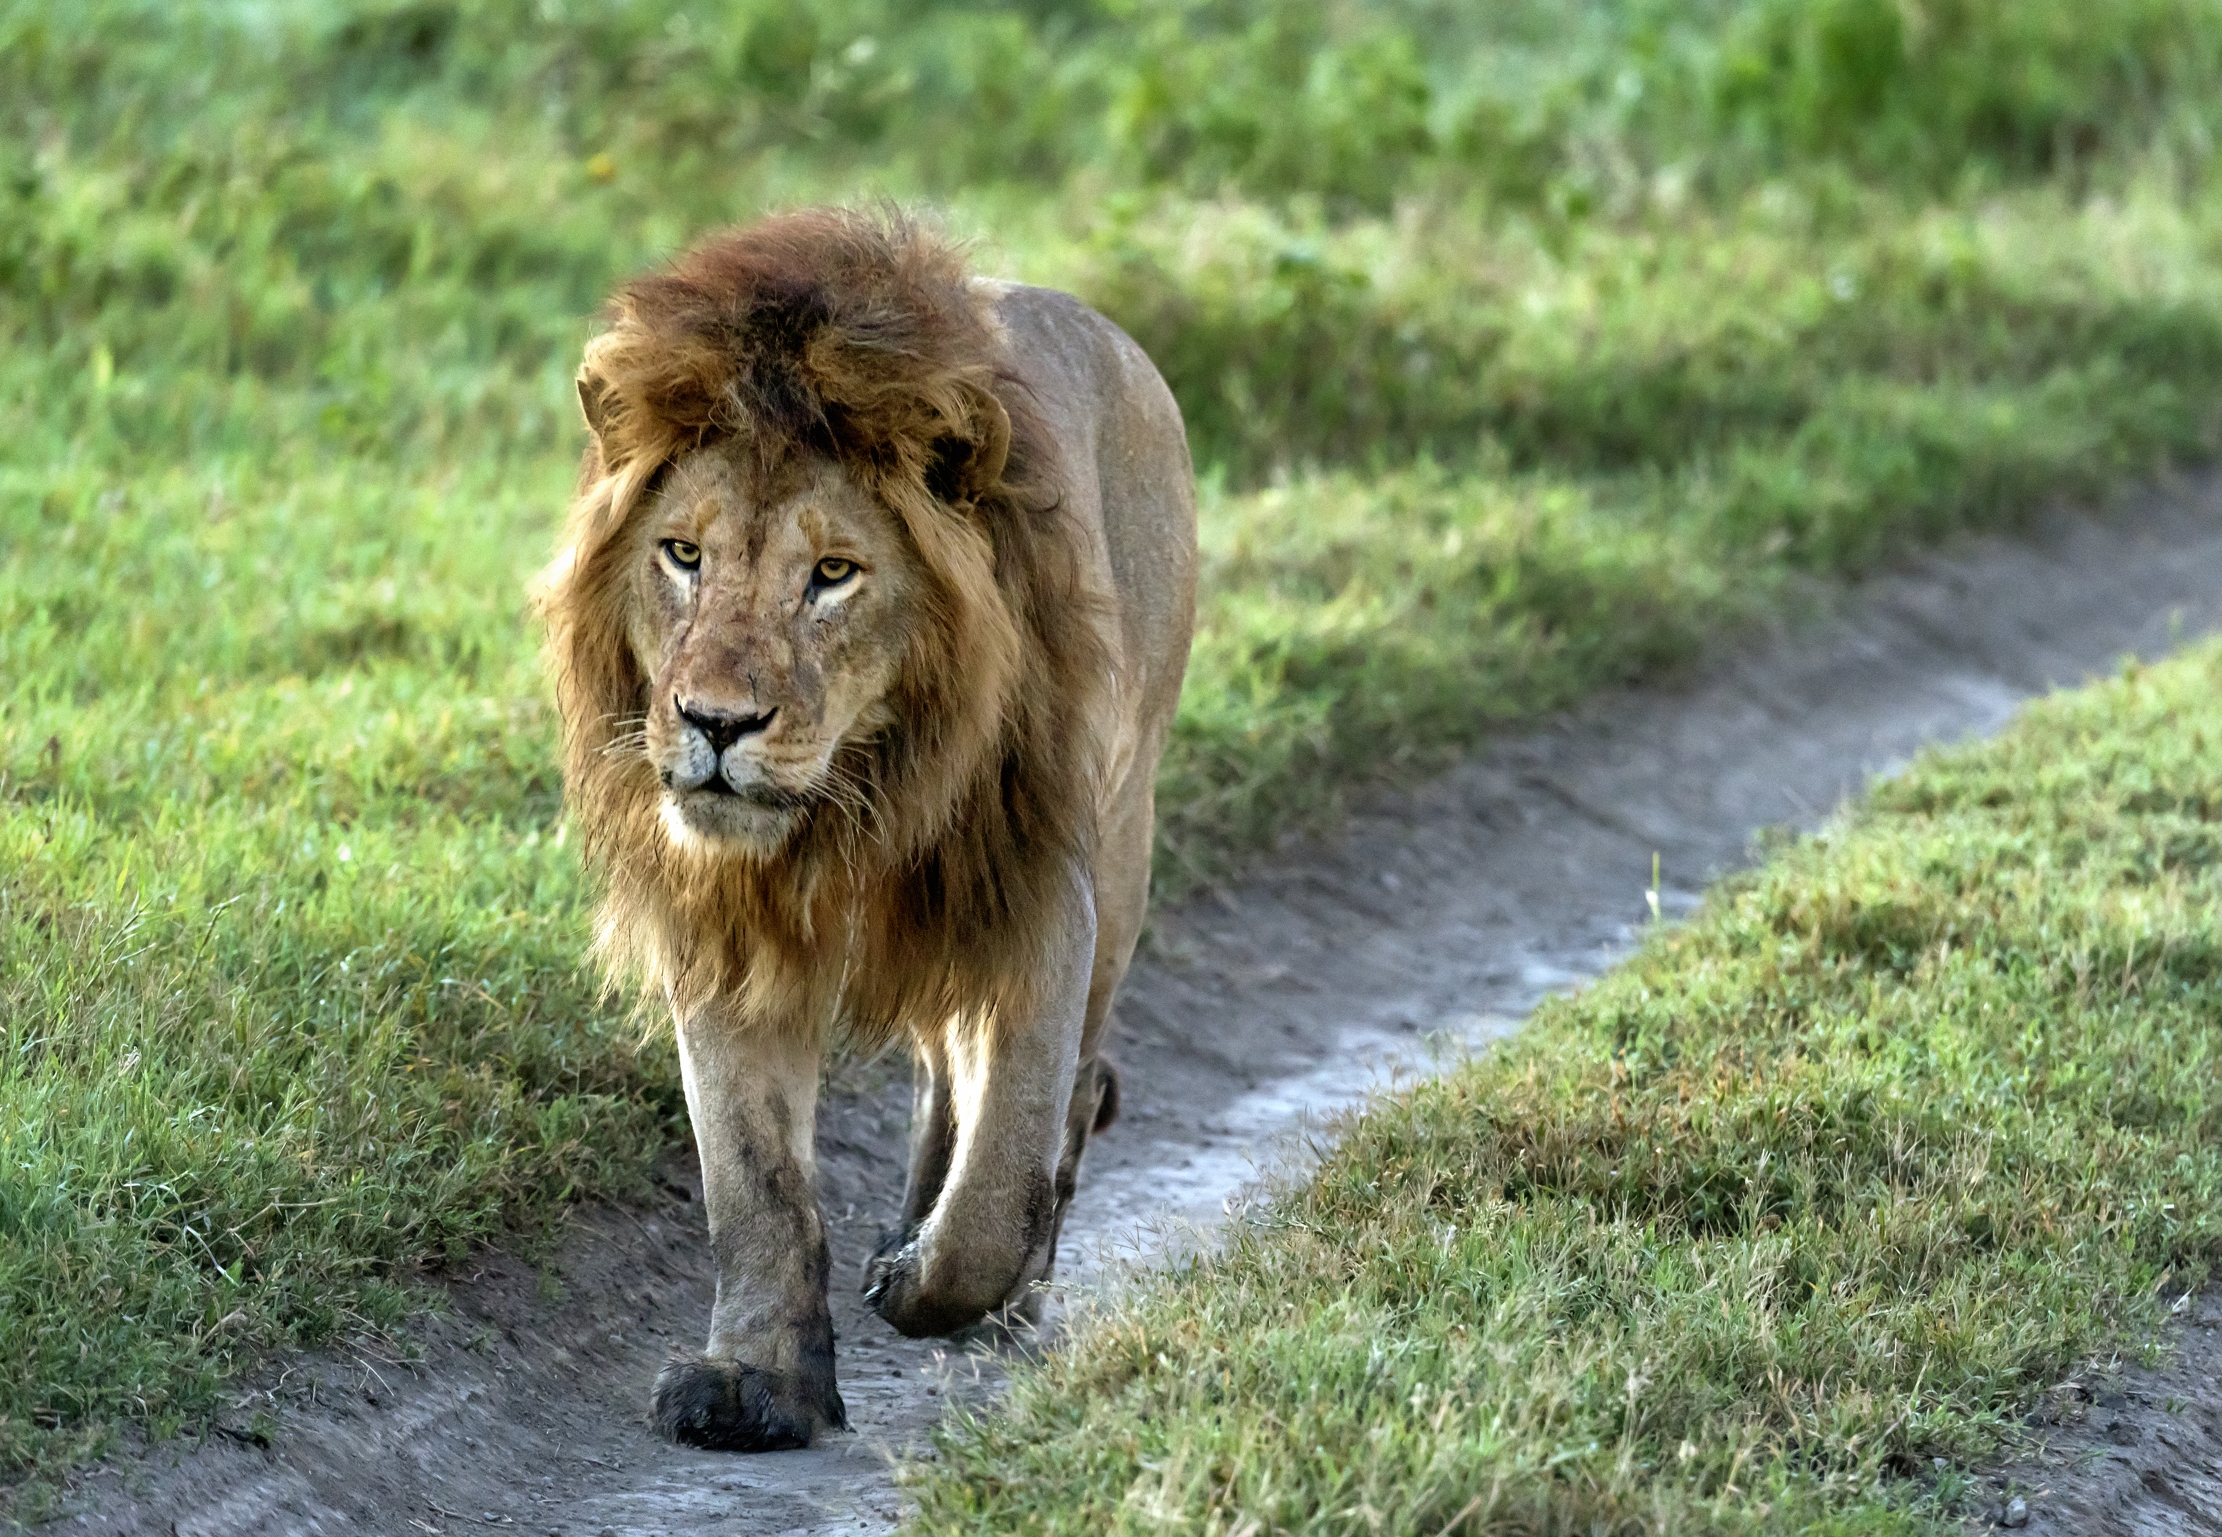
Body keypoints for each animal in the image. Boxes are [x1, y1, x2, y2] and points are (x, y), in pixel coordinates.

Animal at [535, 208, 1197, 1452]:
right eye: (682, 554)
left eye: (832, 574)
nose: (715, 722)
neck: (852, 799)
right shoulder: (723, 925)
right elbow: (752, 1181)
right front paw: (754, 1382)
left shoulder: (1037, 887)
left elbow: (1004, 1159)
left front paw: (941, 1285)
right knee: (945, 1071)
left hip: (1122, 833)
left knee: (1063, 1091)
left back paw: (1002, 1276)